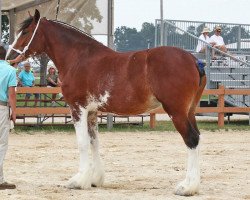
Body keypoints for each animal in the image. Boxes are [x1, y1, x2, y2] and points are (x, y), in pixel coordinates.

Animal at [7, 10, 207, 196]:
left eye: (26, 31)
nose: (9, 56)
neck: (78, 58)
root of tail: (193, 60)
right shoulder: (92, 111)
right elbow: (94, 141)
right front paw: (95, 179)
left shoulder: (77, 108)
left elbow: (82, 143)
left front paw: (79, 181)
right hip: (189, 111)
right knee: (197, 138)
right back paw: (194, 185)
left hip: (176, 112)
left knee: (191, 139)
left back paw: (187, 187)